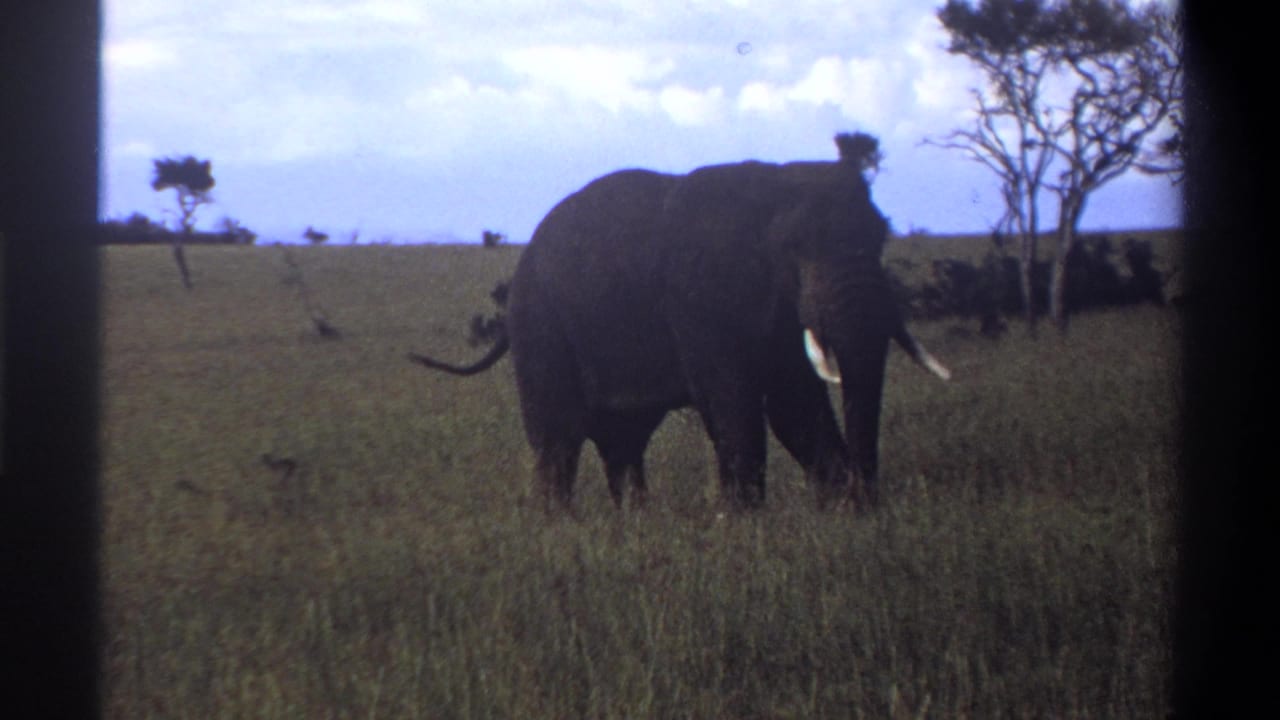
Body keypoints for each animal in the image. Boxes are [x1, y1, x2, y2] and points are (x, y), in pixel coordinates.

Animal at [411, 134, 950, 511]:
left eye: (882, 237)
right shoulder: (701, 299)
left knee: (622, 442)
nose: (869, 498)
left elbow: (795, 407)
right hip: (540, 324)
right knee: (558, 440)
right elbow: (736, 404)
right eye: (796, 248)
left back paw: (634, 523)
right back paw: (559, 527)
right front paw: (745, 527)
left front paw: (843, 513)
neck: (772, 187)